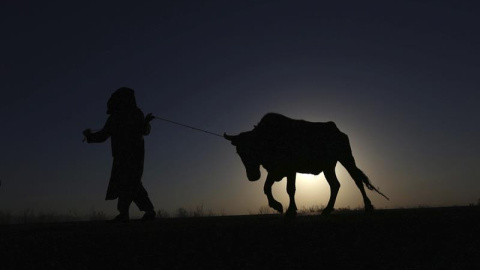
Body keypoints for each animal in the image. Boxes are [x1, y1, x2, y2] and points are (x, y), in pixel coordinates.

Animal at [224, 113, 386, 217]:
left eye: (254, 149)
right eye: (239, 152)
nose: (252, 176)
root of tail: (339, 132)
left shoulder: (290, 169)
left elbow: (290, 189)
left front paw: (290, 210)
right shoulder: (275, 170)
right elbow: (266, 187)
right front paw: (277, 205)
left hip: (346, 158)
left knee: (357, 179)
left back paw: (368, 206)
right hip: (328, 167)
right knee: (335, 185)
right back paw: (327, 209)